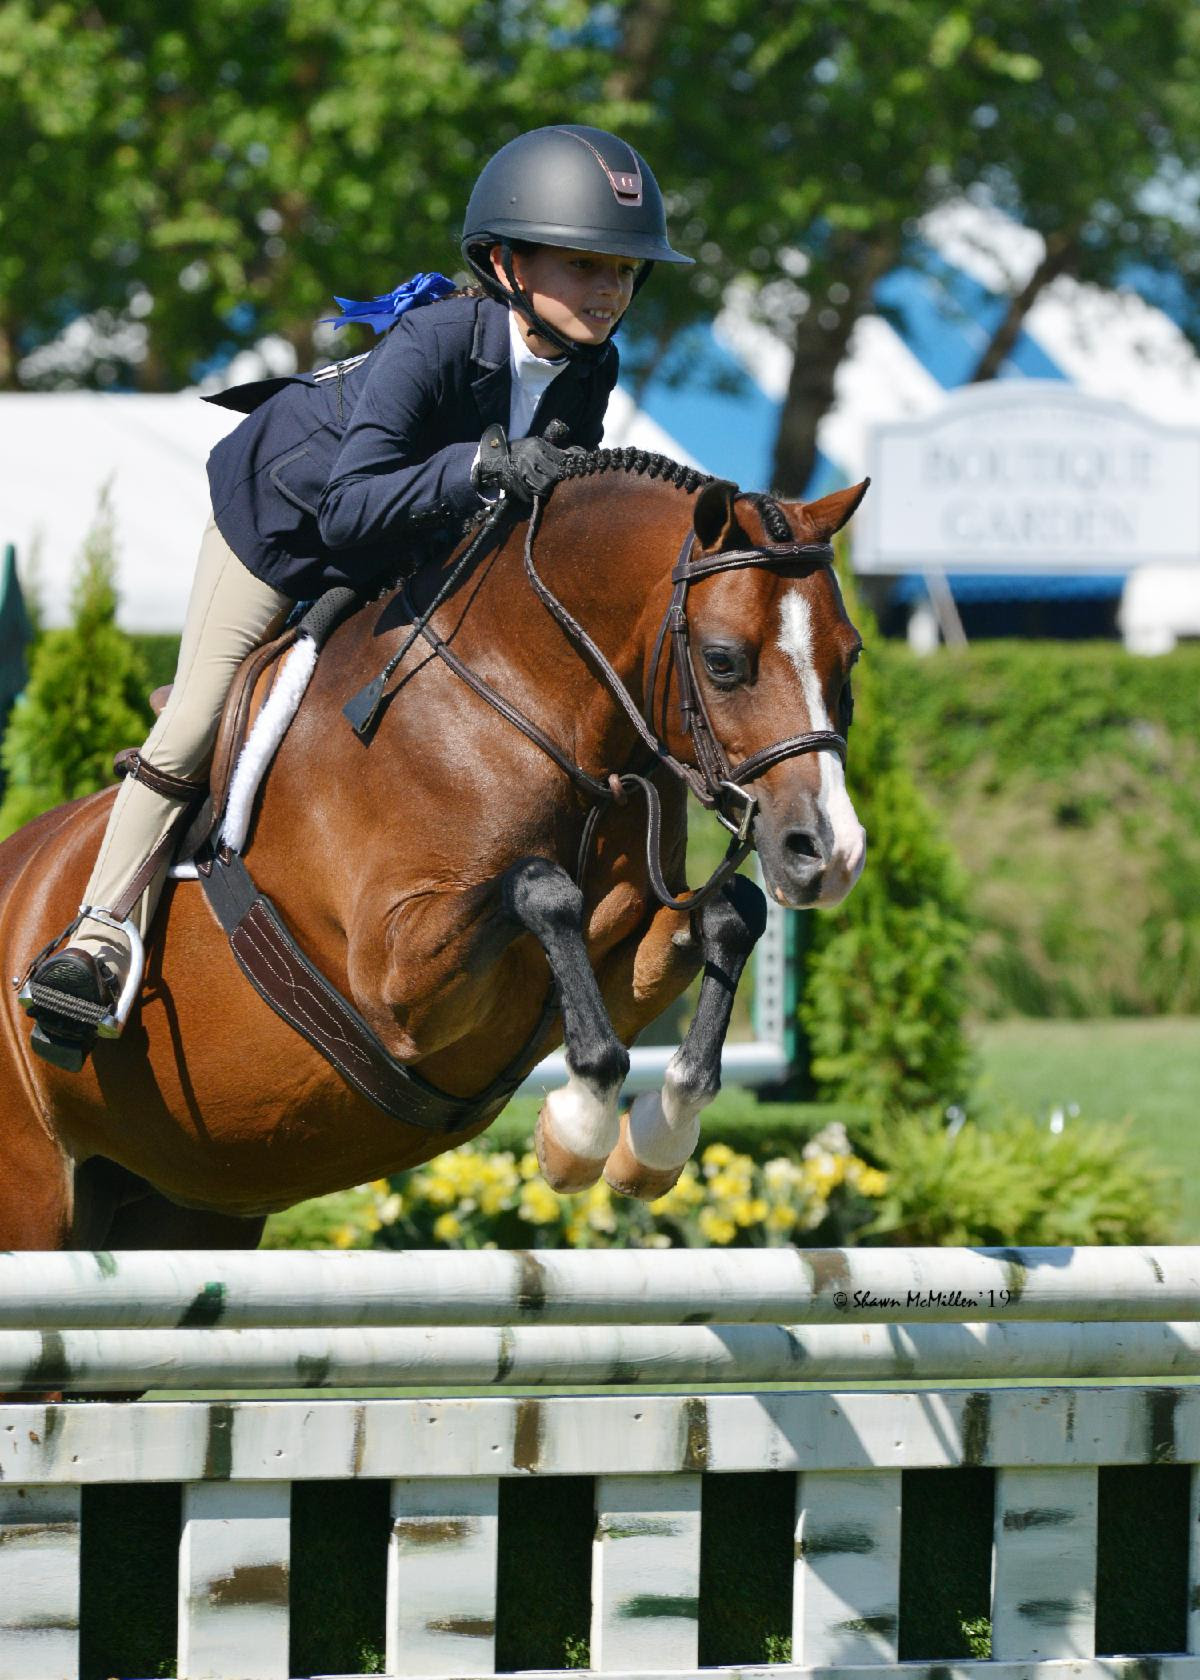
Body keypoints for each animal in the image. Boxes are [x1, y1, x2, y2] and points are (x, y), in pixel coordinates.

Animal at [0, 453, 867, 1256]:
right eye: (723, 660)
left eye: (850, 657)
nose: (829, 854)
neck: (526, 699)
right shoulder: (395, 984)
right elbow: (542, 887)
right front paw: (578, 1128)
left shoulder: (627, 948)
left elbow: (732, 910)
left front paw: (654, 1140)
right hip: (37, 1203)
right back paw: (76, 975)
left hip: (181, 1208)